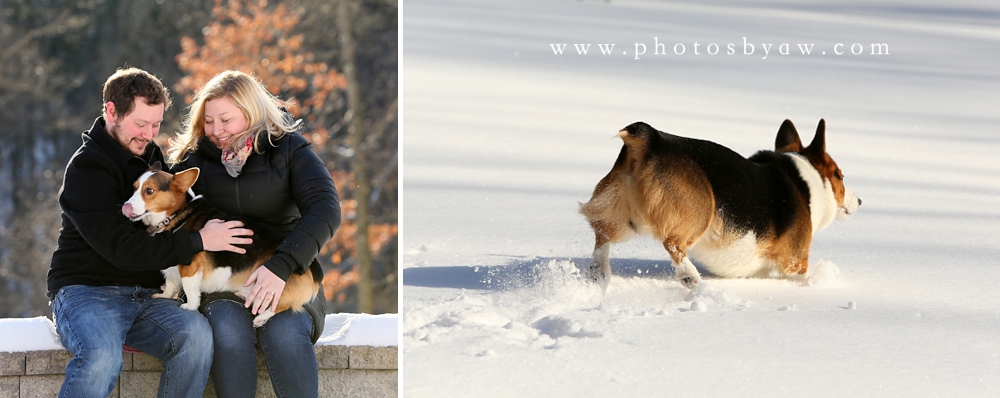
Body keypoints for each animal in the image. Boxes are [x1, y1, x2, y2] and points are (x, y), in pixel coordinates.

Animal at [120, 162, 320, 326]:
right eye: (134, 188)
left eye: (149, 191)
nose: (125, 207)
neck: (176, 215)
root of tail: (314, 269)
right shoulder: (172, 268)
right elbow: (170, 284)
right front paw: (164, 296)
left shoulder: (190, 267)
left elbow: (190, 289)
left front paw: (190, 306)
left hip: (273, 286)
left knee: (280, 305)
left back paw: (261, 318)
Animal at [584, 119, 864, 290]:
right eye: (839, 175)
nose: (860, 201)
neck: (805, 181)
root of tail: (651, 140)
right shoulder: (794, 262)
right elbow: (801, 275)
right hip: (700, 214)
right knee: (673, 243)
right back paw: (691, 278)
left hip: (622, 216)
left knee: (602, 235)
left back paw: (599, 272)